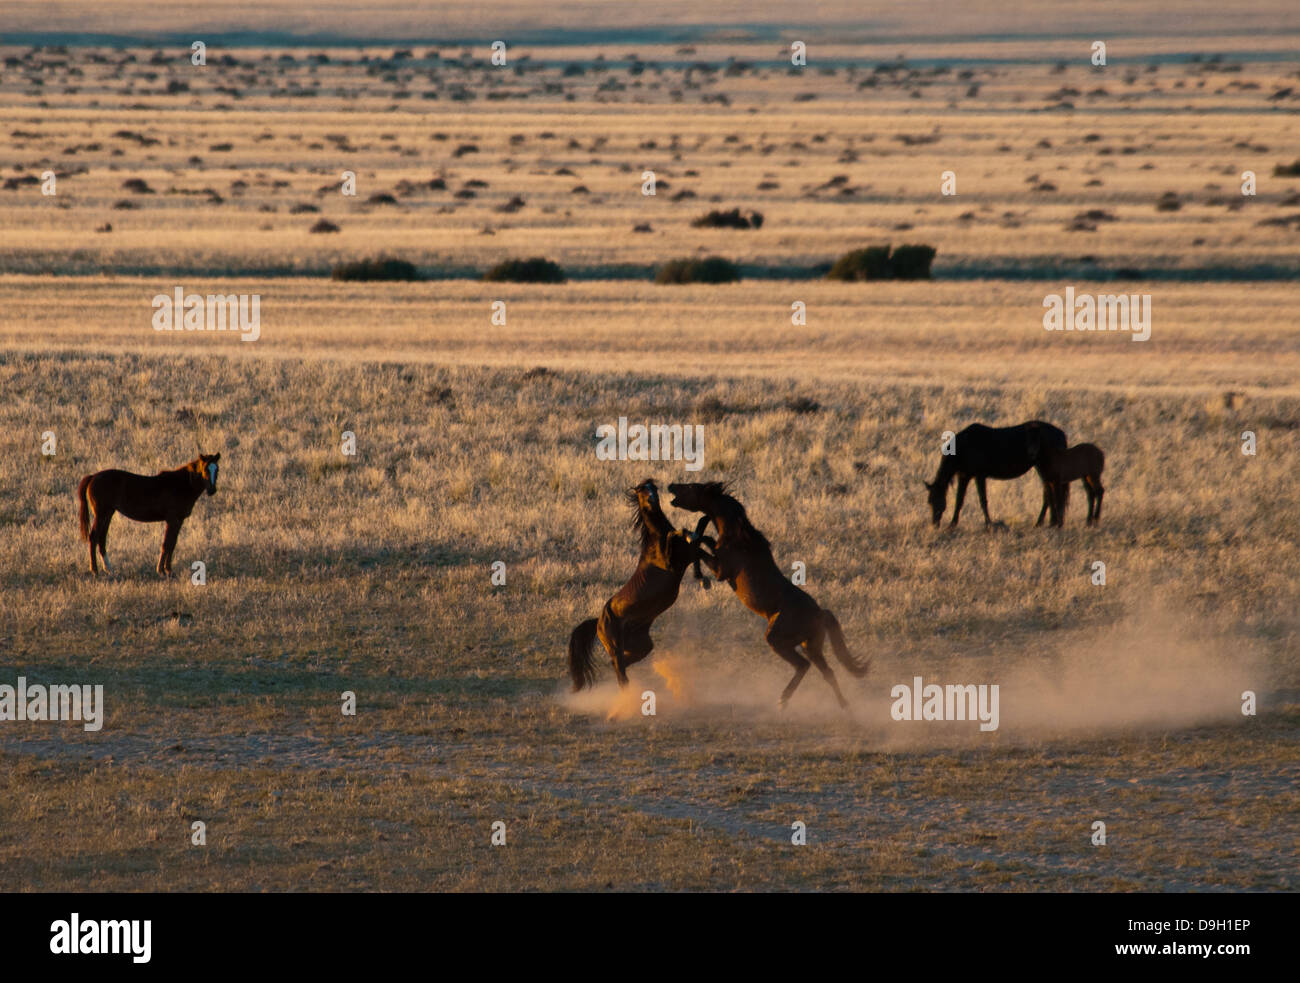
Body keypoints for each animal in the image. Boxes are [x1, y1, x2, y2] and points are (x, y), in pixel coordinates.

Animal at [77, 452, 219, 574]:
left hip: (108, 513)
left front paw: (168, 569)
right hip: (101, 514)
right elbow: (166, 544)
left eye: (216, 470)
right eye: (205, 469)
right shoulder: (172, 520)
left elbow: (172, 544)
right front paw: (162, 570)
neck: (181, 485)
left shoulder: (179, 521)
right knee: (94, 537)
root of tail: (93, 477)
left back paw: (109, 569)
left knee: (102, 539)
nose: (212, 490)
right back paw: (94, 570)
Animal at [566, 478, 712, 691]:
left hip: (642, 646)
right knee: (620, 672)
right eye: (642, 491)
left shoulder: (687, 556)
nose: (652, 500)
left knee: (621, 666)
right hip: (616, 648)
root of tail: (598, 621)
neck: (656, 541)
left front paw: (705, 578)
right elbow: (683, 536)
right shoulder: (672, 563)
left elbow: (700, 540)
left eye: (654, 488)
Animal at [665, 481, 868, 707]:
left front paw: (700, 575)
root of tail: (819, 613)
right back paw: (844, 706)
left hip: (777, 639)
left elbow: (698, 547)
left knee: (803, 665)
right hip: (811, 646)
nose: (671, 485)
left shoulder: (721, 571)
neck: (737, 536)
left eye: (692, 487)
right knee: (827, 672)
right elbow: (705, 540)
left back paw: (783, 700)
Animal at [925, 421, 1066, 530]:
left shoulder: (979, 476)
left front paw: (989, 524)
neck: (964, 446)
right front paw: (952, 524)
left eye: (937, 500)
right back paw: (1049, 523)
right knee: (1049, 493)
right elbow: (959, 500)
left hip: (1044, 468)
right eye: (929, 502)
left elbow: (983, 500)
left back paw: (1047, 523)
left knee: (1050, 493)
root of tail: (1060, 433)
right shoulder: (964, 476)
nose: (934, 524)